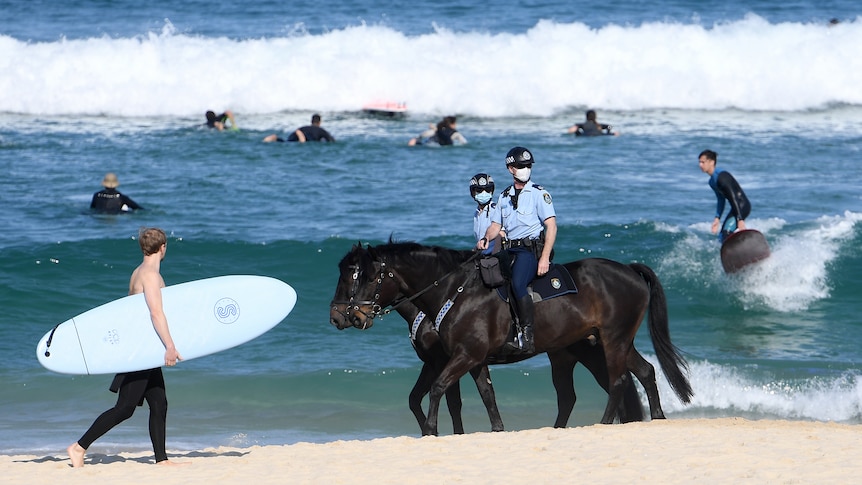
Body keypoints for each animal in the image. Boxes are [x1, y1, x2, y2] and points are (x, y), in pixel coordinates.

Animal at [330, 240, 688, 432]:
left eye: (366, 277)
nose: (343, 315)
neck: (453, 291)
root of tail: (628, 270)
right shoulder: (471, 359)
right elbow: (484, 395)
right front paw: (494, 429)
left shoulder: (458, 357)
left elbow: (438, 391)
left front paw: (432, 431)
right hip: (600, 346)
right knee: (642, 373)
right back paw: (656, 418)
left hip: (612, 340)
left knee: (617, 381)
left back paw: (604, 423)